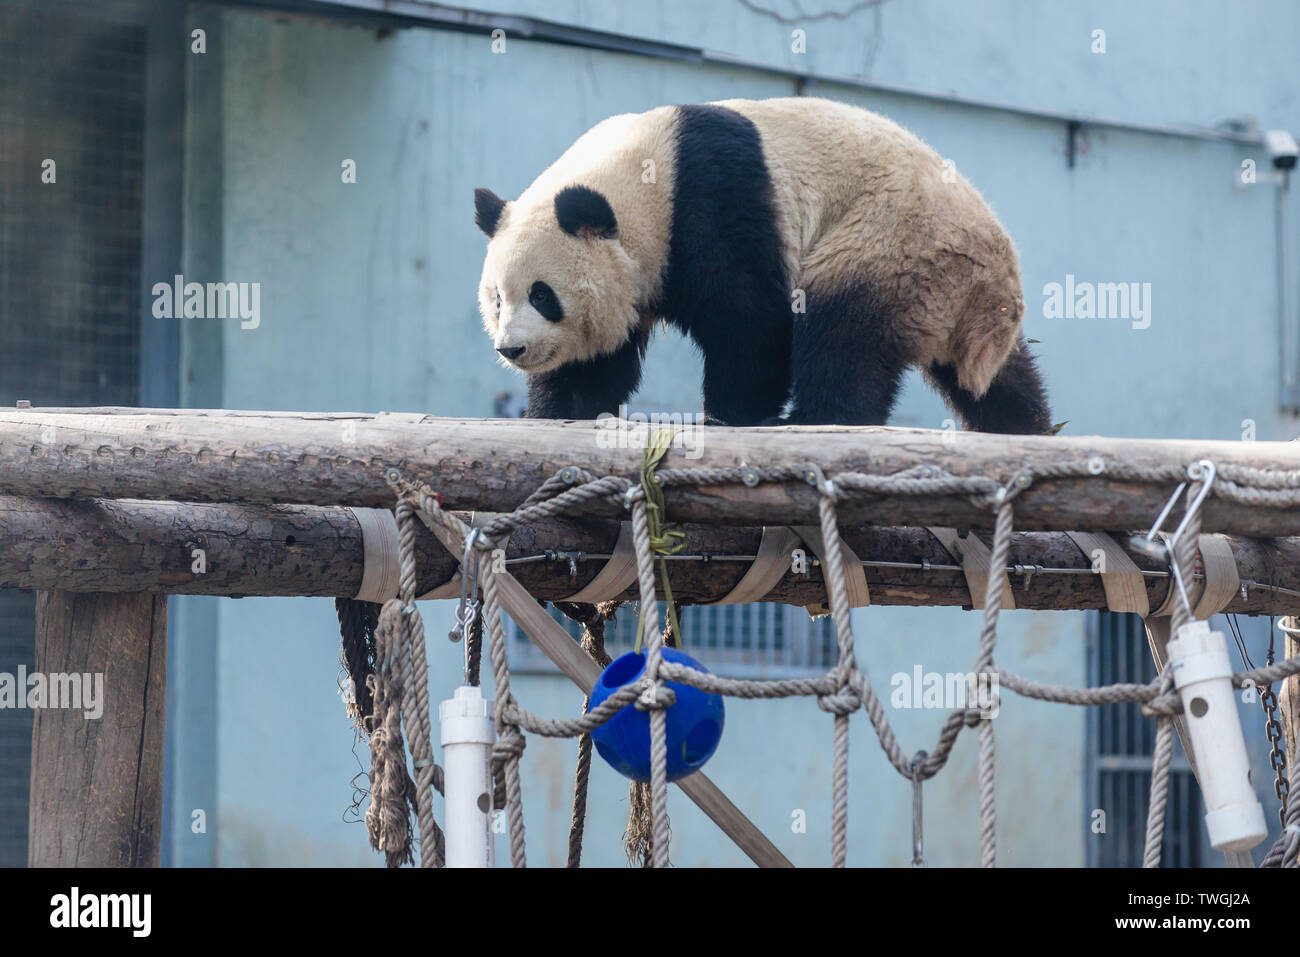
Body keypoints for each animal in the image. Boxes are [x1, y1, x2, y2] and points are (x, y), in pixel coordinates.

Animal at [473, 97, 1050, 434]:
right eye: (497, 299)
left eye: (543, 295)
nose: (511, 350)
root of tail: (994, 278)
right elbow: (597, 359)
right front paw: (556, 409)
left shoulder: (714, 203)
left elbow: (748, 317)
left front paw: (732, 416)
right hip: (951, 292)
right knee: (1001, 376)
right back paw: (1026, 425)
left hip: (893, 241)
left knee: (843, 327)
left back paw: (818, 417)